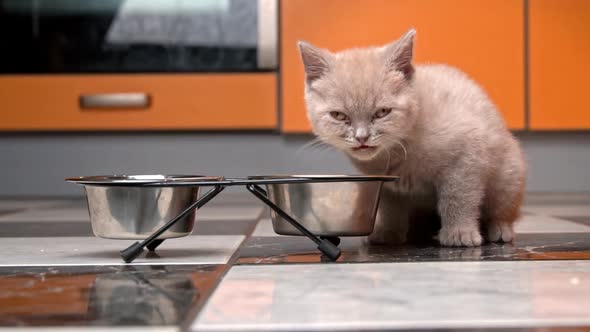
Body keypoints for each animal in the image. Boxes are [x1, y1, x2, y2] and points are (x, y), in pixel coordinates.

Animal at [300, 29, 528, 246]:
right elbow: (390, 208)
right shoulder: (387, 185)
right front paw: (388, 233)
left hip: (508, 175)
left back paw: (499, 229)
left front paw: (459, 232)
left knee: (502, 209)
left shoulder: (467, 156)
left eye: (382, 112)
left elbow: (458, 197)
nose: (362, 137)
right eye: (339, 115)